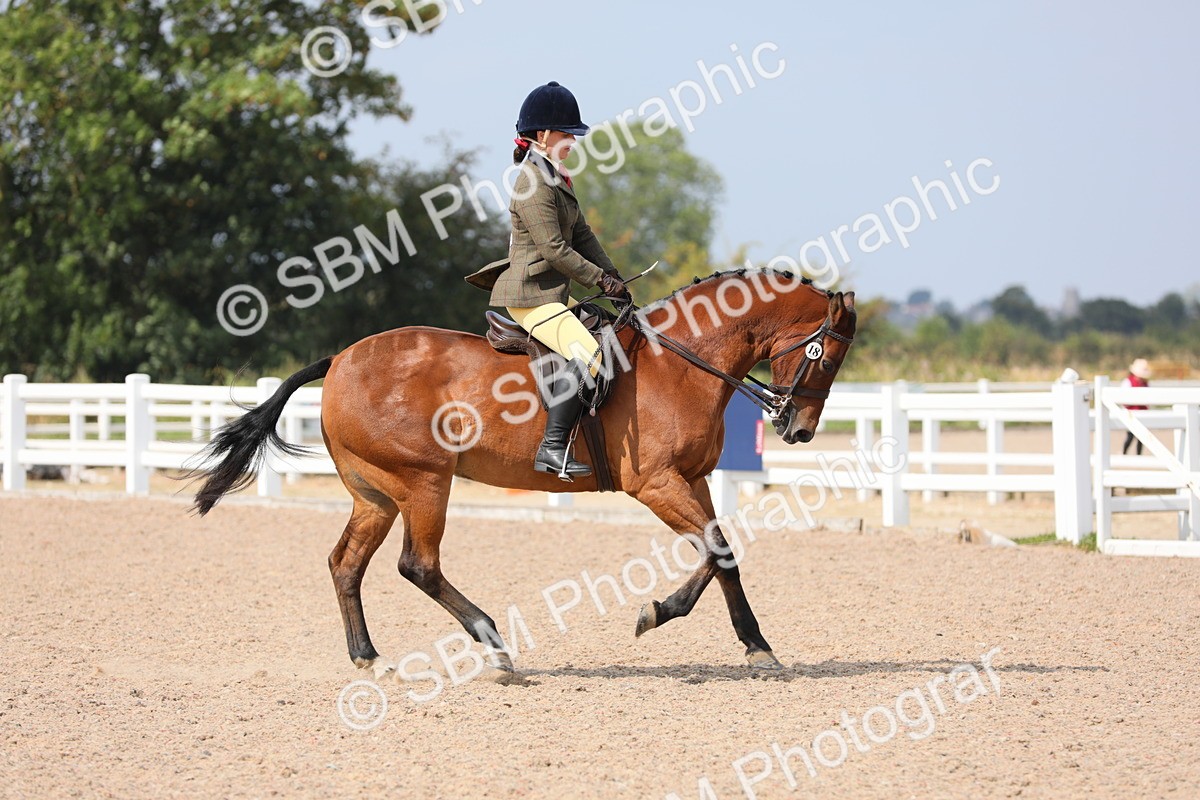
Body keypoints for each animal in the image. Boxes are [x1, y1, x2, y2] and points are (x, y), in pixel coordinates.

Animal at [190, 268, 856, 678]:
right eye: (825, 354)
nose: (798, 430)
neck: (681, 363)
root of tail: (339, 359)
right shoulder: (657, 485)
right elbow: (718, 552)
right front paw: (670, 619)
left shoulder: (690, 481)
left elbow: (722, 554)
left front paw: (743, 641)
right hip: (423, 482)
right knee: (417, 565)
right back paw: (494, 646)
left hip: (374, 493)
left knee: (346, 564)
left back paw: (369, 658)